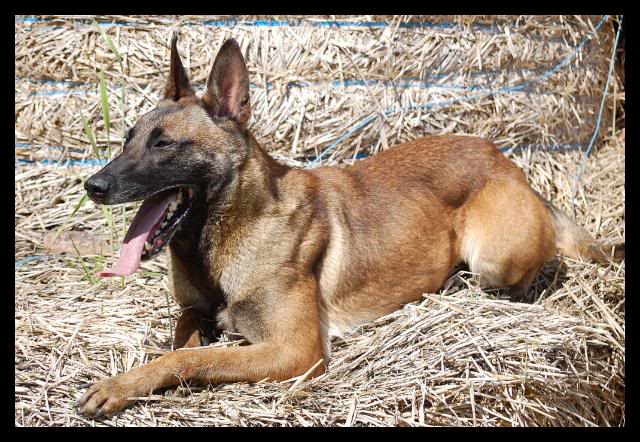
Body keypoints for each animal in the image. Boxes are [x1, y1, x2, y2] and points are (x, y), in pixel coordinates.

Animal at [77, 35, 624, 418]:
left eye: (164, 144)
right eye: (127, 138)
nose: (93, 185)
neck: (228, 229)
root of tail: (507, 161)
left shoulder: (295, 353)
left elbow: (190, 359)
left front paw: (121, 385)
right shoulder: (196, 310)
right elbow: (183, 338)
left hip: (496, 256)